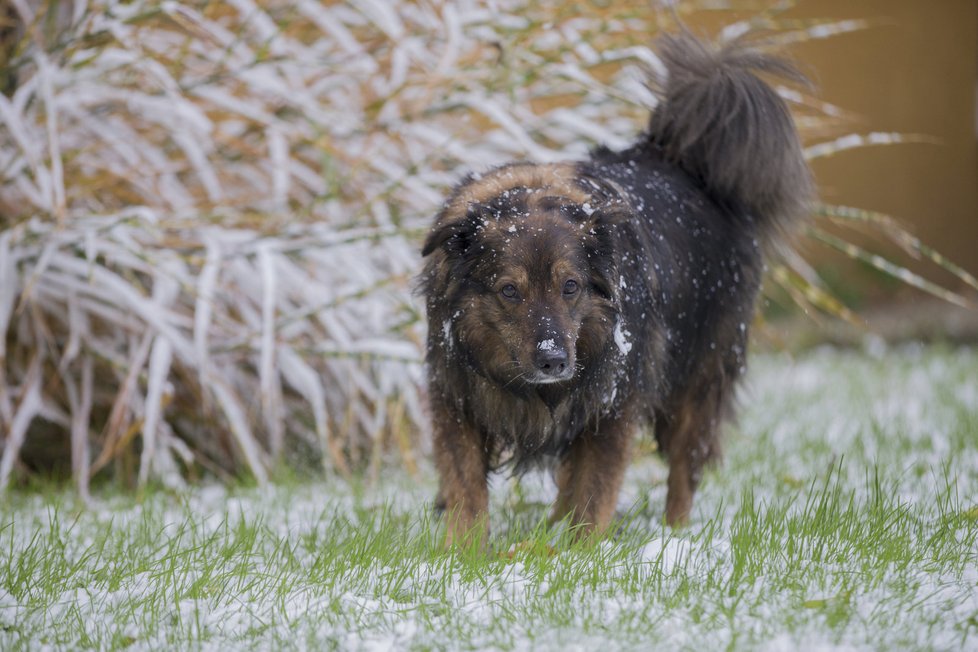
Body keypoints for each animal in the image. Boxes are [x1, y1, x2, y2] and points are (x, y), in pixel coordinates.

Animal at [416, 34, 812, 544]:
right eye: (509, 291)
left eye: (570, 286)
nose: (554, 361)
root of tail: (680, 159)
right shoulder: (457, 397)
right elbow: (466, 487)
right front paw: (464, 551)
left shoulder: (612, 404)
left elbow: (594, 490)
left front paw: (580, 551)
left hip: (698, 381)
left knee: (683, 471)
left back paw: (674, 538)